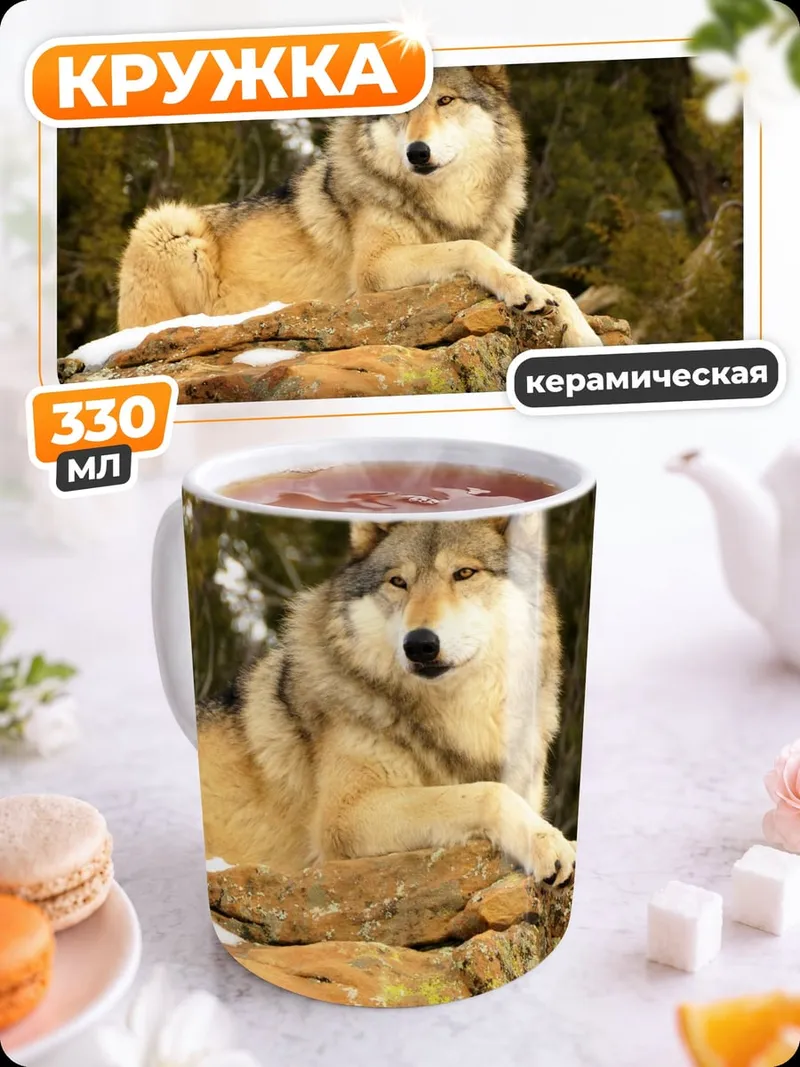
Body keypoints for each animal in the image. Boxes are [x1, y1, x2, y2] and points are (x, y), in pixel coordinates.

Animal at [118, 65, 601, 348]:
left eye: (445, 100)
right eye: (401, 109)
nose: (417, 153)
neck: (448, 206)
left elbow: (557, 291)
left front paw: (583, 335)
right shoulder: (374, 269)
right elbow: (468, 248)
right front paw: (521, 290)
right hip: (165, 224)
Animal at [198, 513, 576, 887]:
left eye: (465, 573)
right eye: (398, 581)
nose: (420, 644)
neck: (457, 723)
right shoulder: (346, 815)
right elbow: (488, 793)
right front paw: (548, 843)